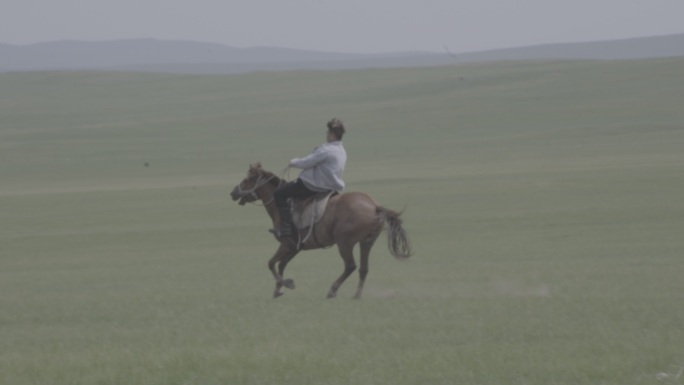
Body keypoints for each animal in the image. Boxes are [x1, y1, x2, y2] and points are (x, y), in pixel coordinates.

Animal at [230, 162, 412, 296]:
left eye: (246, 180)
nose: (233, 193)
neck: (280, 205)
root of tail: (374, 206)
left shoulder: (286, 244)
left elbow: (271, 263)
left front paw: (286, 284)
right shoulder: (295, 247)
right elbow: (281, 265)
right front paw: (278, 289)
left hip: (345, 244)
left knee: (350, 266)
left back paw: (333, 290)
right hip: (366, 242)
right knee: (363, 268)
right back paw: (357, 295)